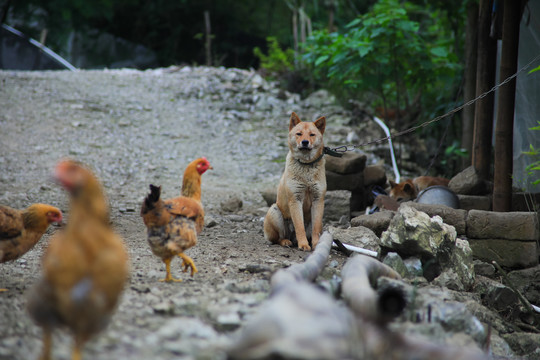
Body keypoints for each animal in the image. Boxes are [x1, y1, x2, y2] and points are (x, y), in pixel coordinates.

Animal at [264, 112, 326, 250]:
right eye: (299, 133)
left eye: (312, 134)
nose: (305, 142)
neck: (306, 166)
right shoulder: (295, 199)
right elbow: (299, 226)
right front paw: (303, 244)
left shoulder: (318, 200)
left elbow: (316, 228)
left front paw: (316, 244)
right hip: (274, 211)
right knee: (278, 238)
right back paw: (286, 241)